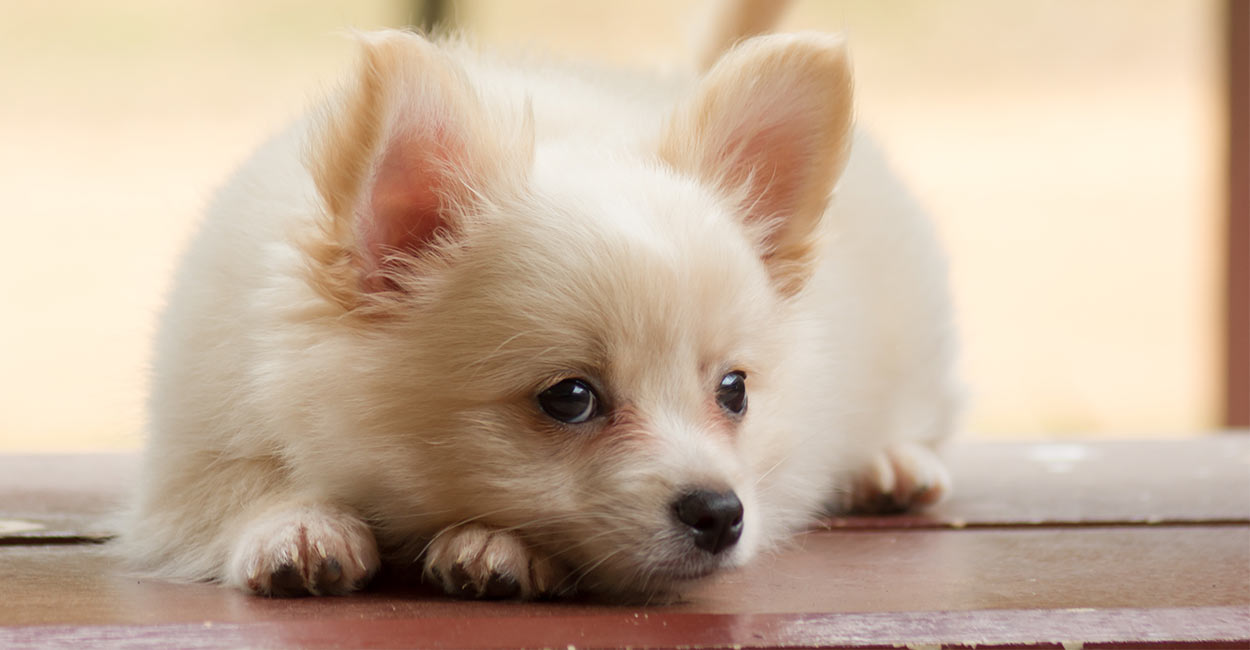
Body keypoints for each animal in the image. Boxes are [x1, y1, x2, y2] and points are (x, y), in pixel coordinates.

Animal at [121, 17, 960, 602]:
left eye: (735, 392)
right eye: (571, 398)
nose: (723, 513)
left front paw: (498, 546)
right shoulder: (187, 450)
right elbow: (234, 486)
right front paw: (296, 525)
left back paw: (889, 464)